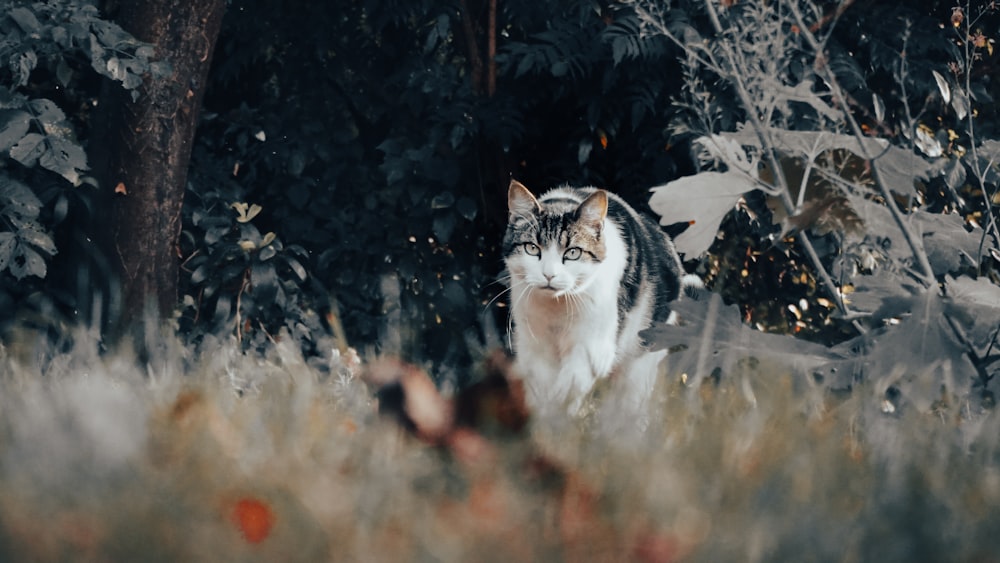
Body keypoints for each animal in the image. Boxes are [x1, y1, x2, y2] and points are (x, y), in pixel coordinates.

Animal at [504, 178, 684, 416]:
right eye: (532, 248)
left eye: (572, 253)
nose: (549, 275)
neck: (557, 307)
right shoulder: (534, 349)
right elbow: (541, 394)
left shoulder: (593, 348)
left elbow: (571, 385)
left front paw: (561, 410)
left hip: (637, 370)